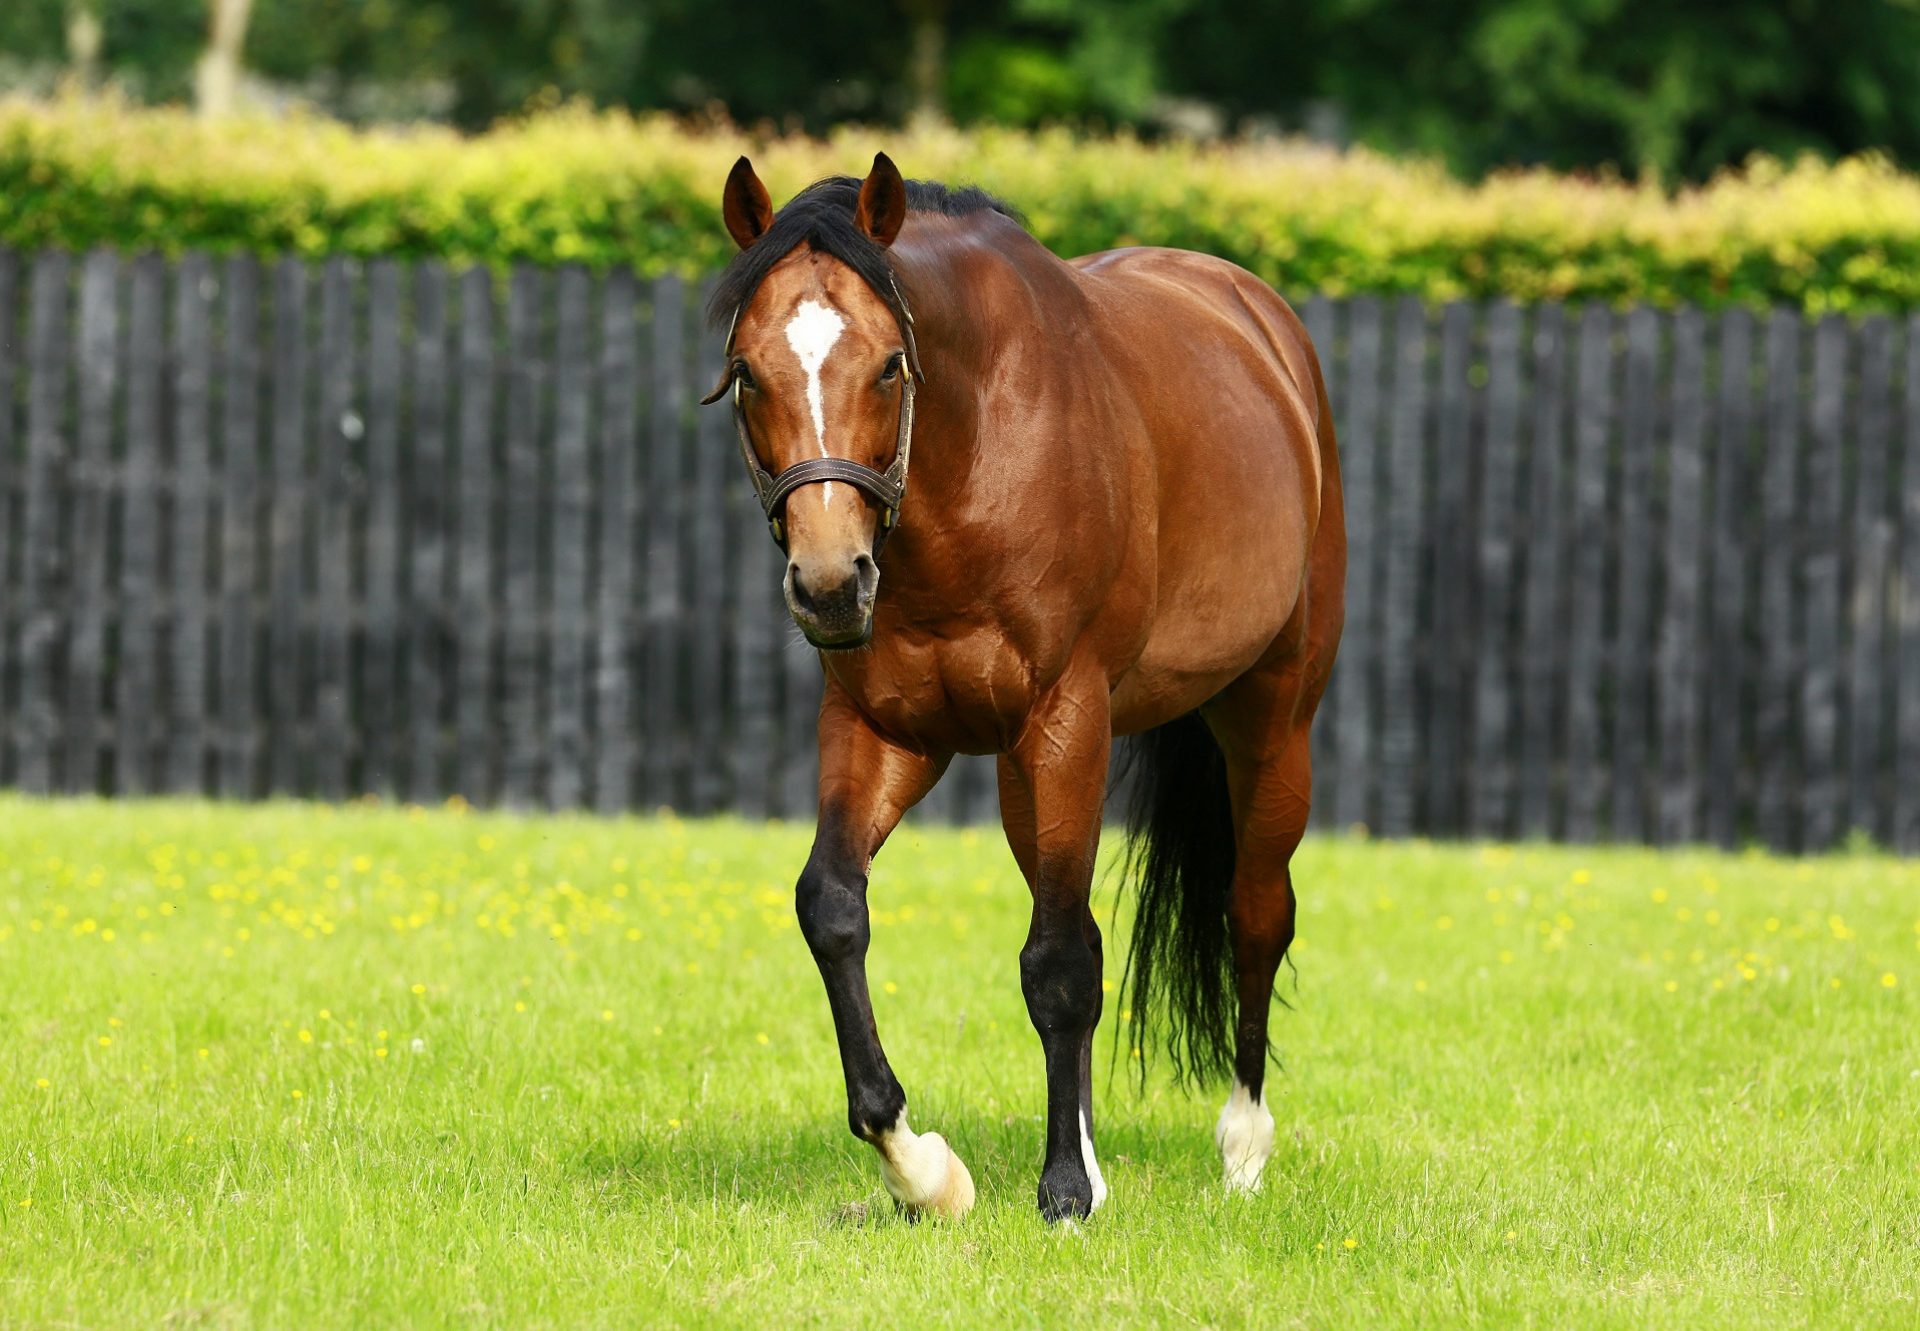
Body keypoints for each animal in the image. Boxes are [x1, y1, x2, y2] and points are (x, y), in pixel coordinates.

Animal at [706, 152, 1351, 1213]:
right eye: (750, 372)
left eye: (890, 365)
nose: (832, 581)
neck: (975, 464)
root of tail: (1262, 323)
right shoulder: (886, 729)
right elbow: (834, 906)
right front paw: (924, 1169)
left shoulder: (1067, 719)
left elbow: (1054, 964)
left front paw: (1062, 1192)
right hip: (1025, 777)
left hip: (1269, 719)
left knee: (1256, 910)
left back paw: (1242, 1148)